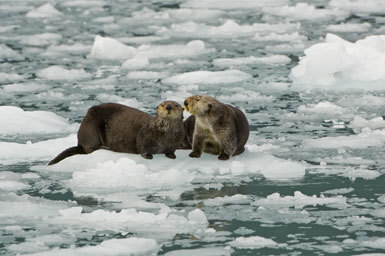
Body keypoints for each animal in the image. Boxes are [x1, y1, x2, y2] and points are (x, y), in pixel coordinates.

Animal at [48, 101, 184, 165]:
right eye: (162, 104)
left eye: (176, 105)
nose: (168, 107)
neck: (164, 135)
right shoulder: (145, 135)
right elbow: (142, 147)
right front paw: (148, 156)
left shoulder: (175, 140)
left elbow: (171, 150)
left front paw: (171, 155)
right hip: (91, 126)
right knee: (89, 148)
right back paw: (105, 147)